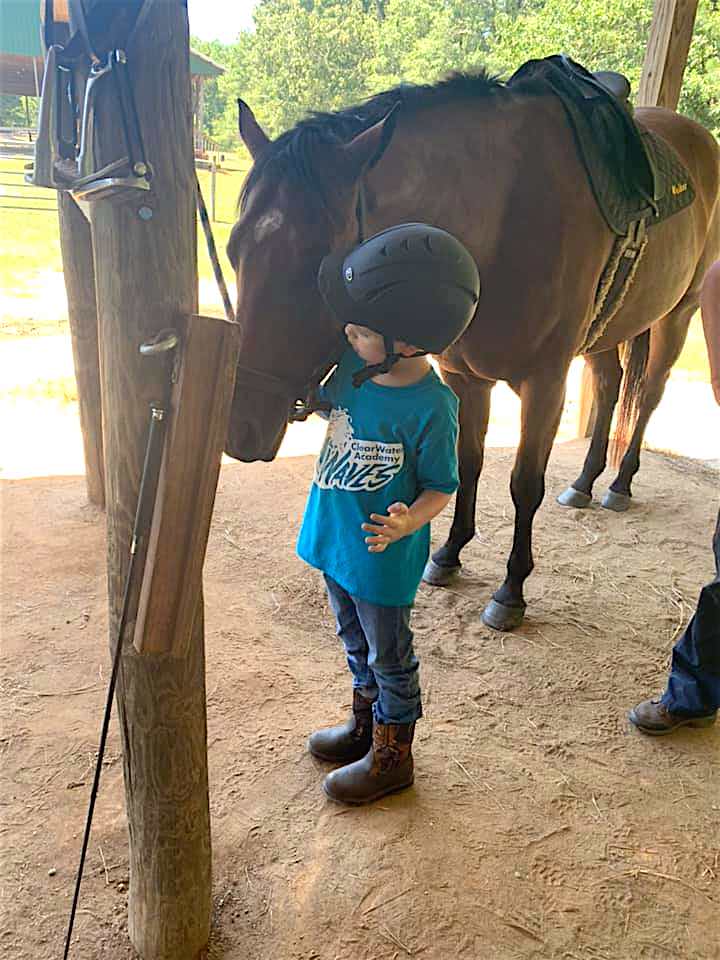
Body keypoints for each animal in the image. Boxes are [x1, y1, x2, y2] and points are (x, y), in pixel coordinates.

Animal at [226, 71, 720, 632]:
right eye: (234, 249)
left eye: (319, 270)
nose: (240, 426)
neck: (506, 213)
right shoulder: (465, 378)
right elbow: (468, 463)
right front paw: (449, 554)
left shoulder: (546, 383)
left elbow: (524, 484)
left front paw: (511, 591)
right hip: (608, 332)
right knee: (612, 386)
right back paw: (586, 480)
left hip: (678, 315)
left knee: (648, 396)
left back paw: (620, 483)